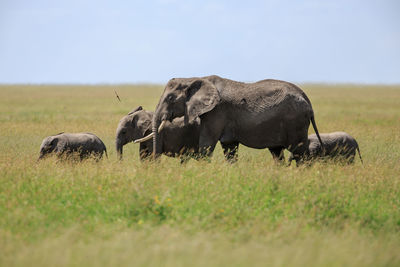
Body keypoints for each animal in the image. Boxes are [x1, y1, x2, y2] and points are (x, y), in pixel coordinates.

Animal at [147, 74, 322, 164]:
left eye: (170, 98)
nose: (155, 163)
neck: (194, 78)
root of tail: (307, 99)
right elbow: (229, 147)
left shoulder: (216, 111)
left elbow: (207, 144)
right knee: (277, 152)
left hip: (295, 121)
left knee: (299, 153)